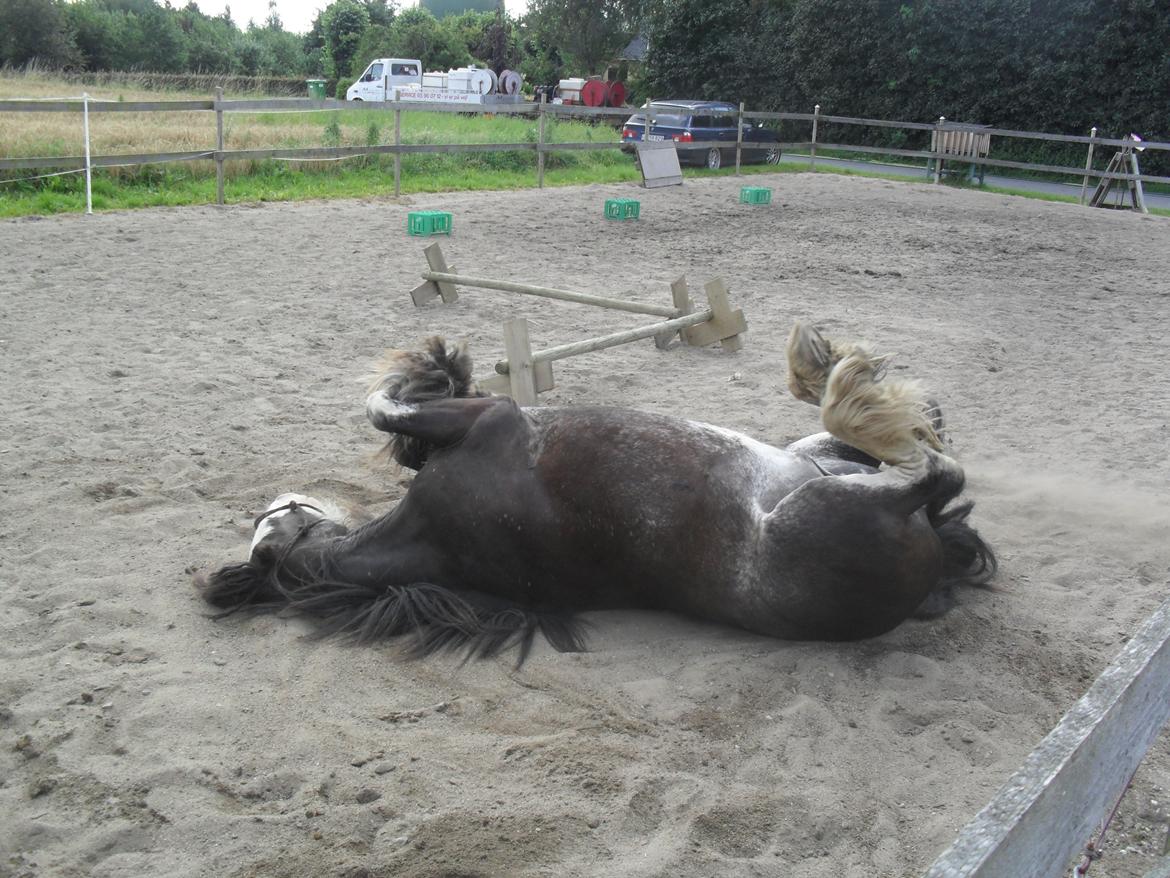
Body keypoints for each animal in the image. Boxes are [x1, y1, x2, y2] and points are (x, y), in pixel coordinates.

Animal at [198, 327, 996, 664]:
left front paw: (433, 373)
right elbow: (379, 405)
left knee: (901, 453)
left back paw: (832, 367)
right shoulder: (492, 417)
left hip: (818, 465)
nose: (280, 499)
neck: (425, 543)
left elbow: (387, 411)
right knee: (934, 468)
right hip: (826, 505)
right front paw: (431, 370)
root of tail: (927, 566)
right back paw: (842, 377)